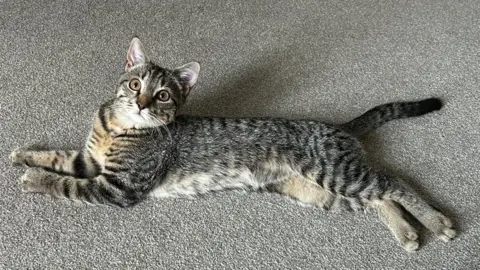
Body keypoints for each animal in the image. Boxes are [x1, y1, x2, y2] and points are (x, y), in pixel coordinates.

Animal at [9, 36, 456, 251]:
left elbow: (66, 183)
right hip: (321, 191)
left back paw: (435, 222)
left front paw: (34, 179)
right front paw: (24, 154)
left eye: (163, 95)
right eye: (135, 84)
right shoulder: (89, 160)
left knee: (394, 182)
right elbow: (58, 156)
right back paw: (407, 233)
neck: (118, 125)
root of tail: (338, 127)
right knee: (379, 198)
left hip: (334, 173)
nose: (141, 103)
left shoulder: (118, 187)